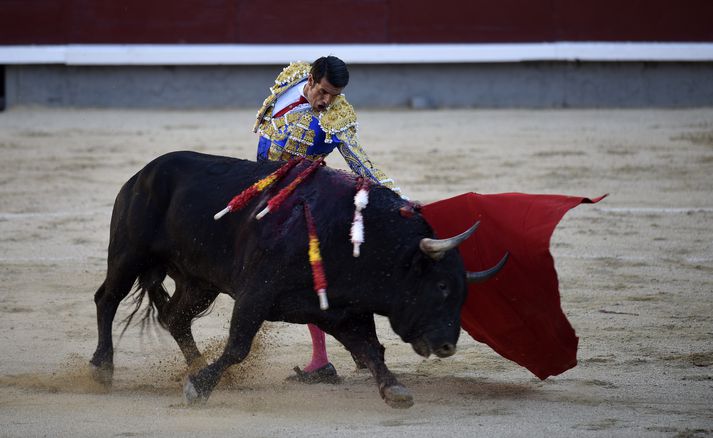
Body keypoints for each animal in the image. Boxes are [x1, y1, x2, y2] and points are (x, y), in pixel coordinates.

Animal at [90, 152, 500, 408]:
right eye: (442, 286)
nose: (447, 345)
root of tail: (141, 174)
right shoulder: (255, 294)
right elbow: (238, 346)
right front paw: (199, 390)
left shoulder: (342, 311)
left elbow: (371, 349)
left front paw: (395, 390)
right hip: (129, 254)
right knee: (107, 299)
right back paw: (102, 369)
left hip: (198, 281)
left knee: (174, 317)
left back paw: (195, 365)